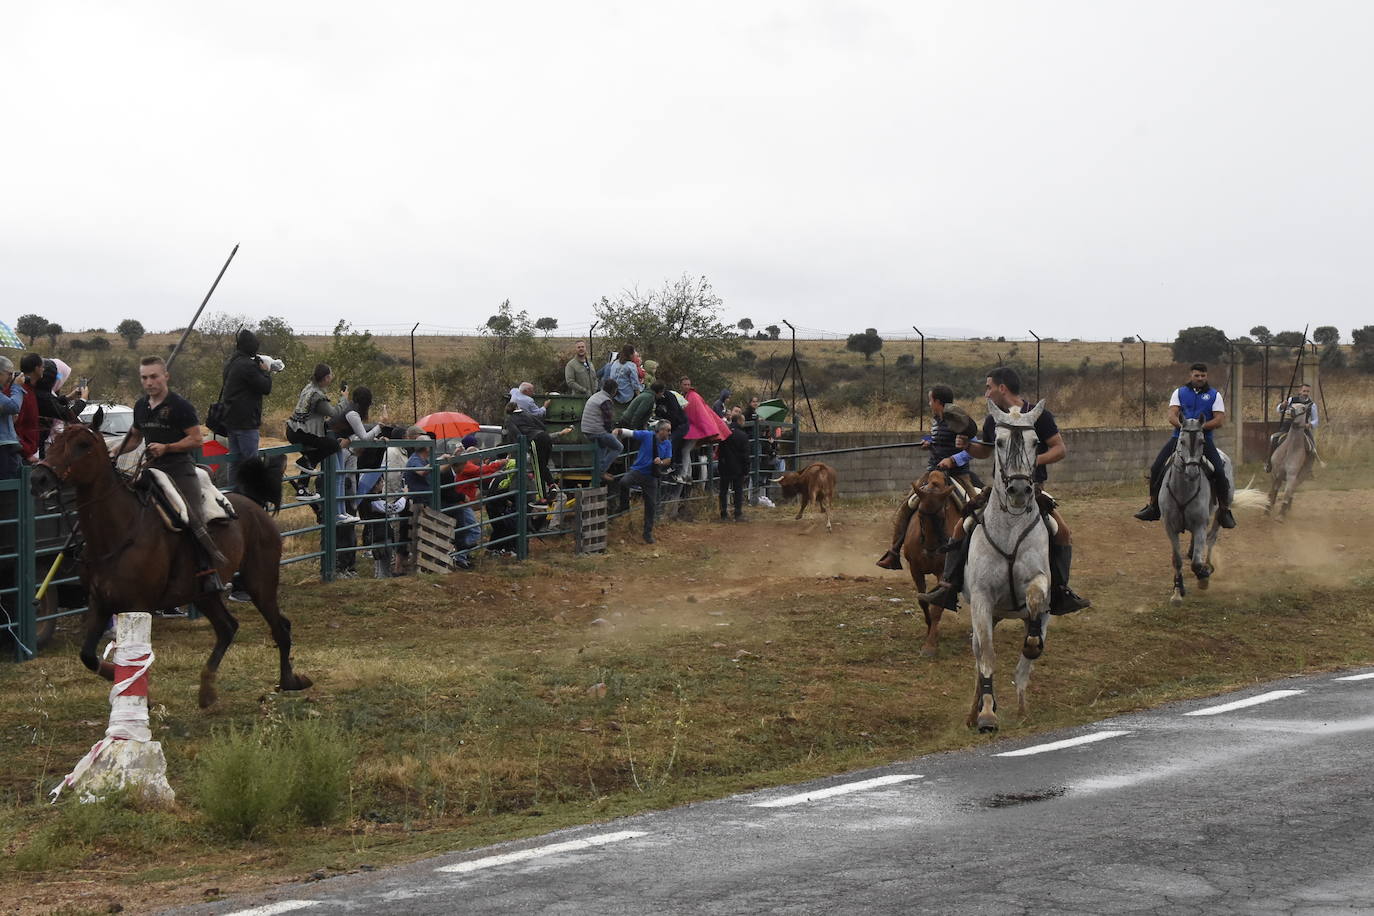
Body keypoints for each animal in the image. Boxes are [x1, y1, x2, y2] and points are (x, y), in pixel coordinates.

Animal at [30, 425, 314, 708]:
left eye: (84, 445)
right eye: (54, 441)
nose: (39, 478)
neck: (119, 531)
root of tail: (253, 506)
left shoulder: (139, 605)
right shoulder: (100, 603)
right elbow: (88, 656)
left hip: (260, 581)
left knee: (280, 627)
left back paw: (290, 681)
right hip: (203, 594)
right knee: (228, 628)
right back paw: (207, 690)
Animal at [895, 472, 961, 659]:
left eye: (941, 517)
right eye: (920, 516)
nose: (931, 550)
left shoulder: (943, 573)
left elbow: (937, 607)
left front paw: (930, 644)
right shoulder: (915, 570)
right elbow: (923, 600)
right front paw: (930, 629)